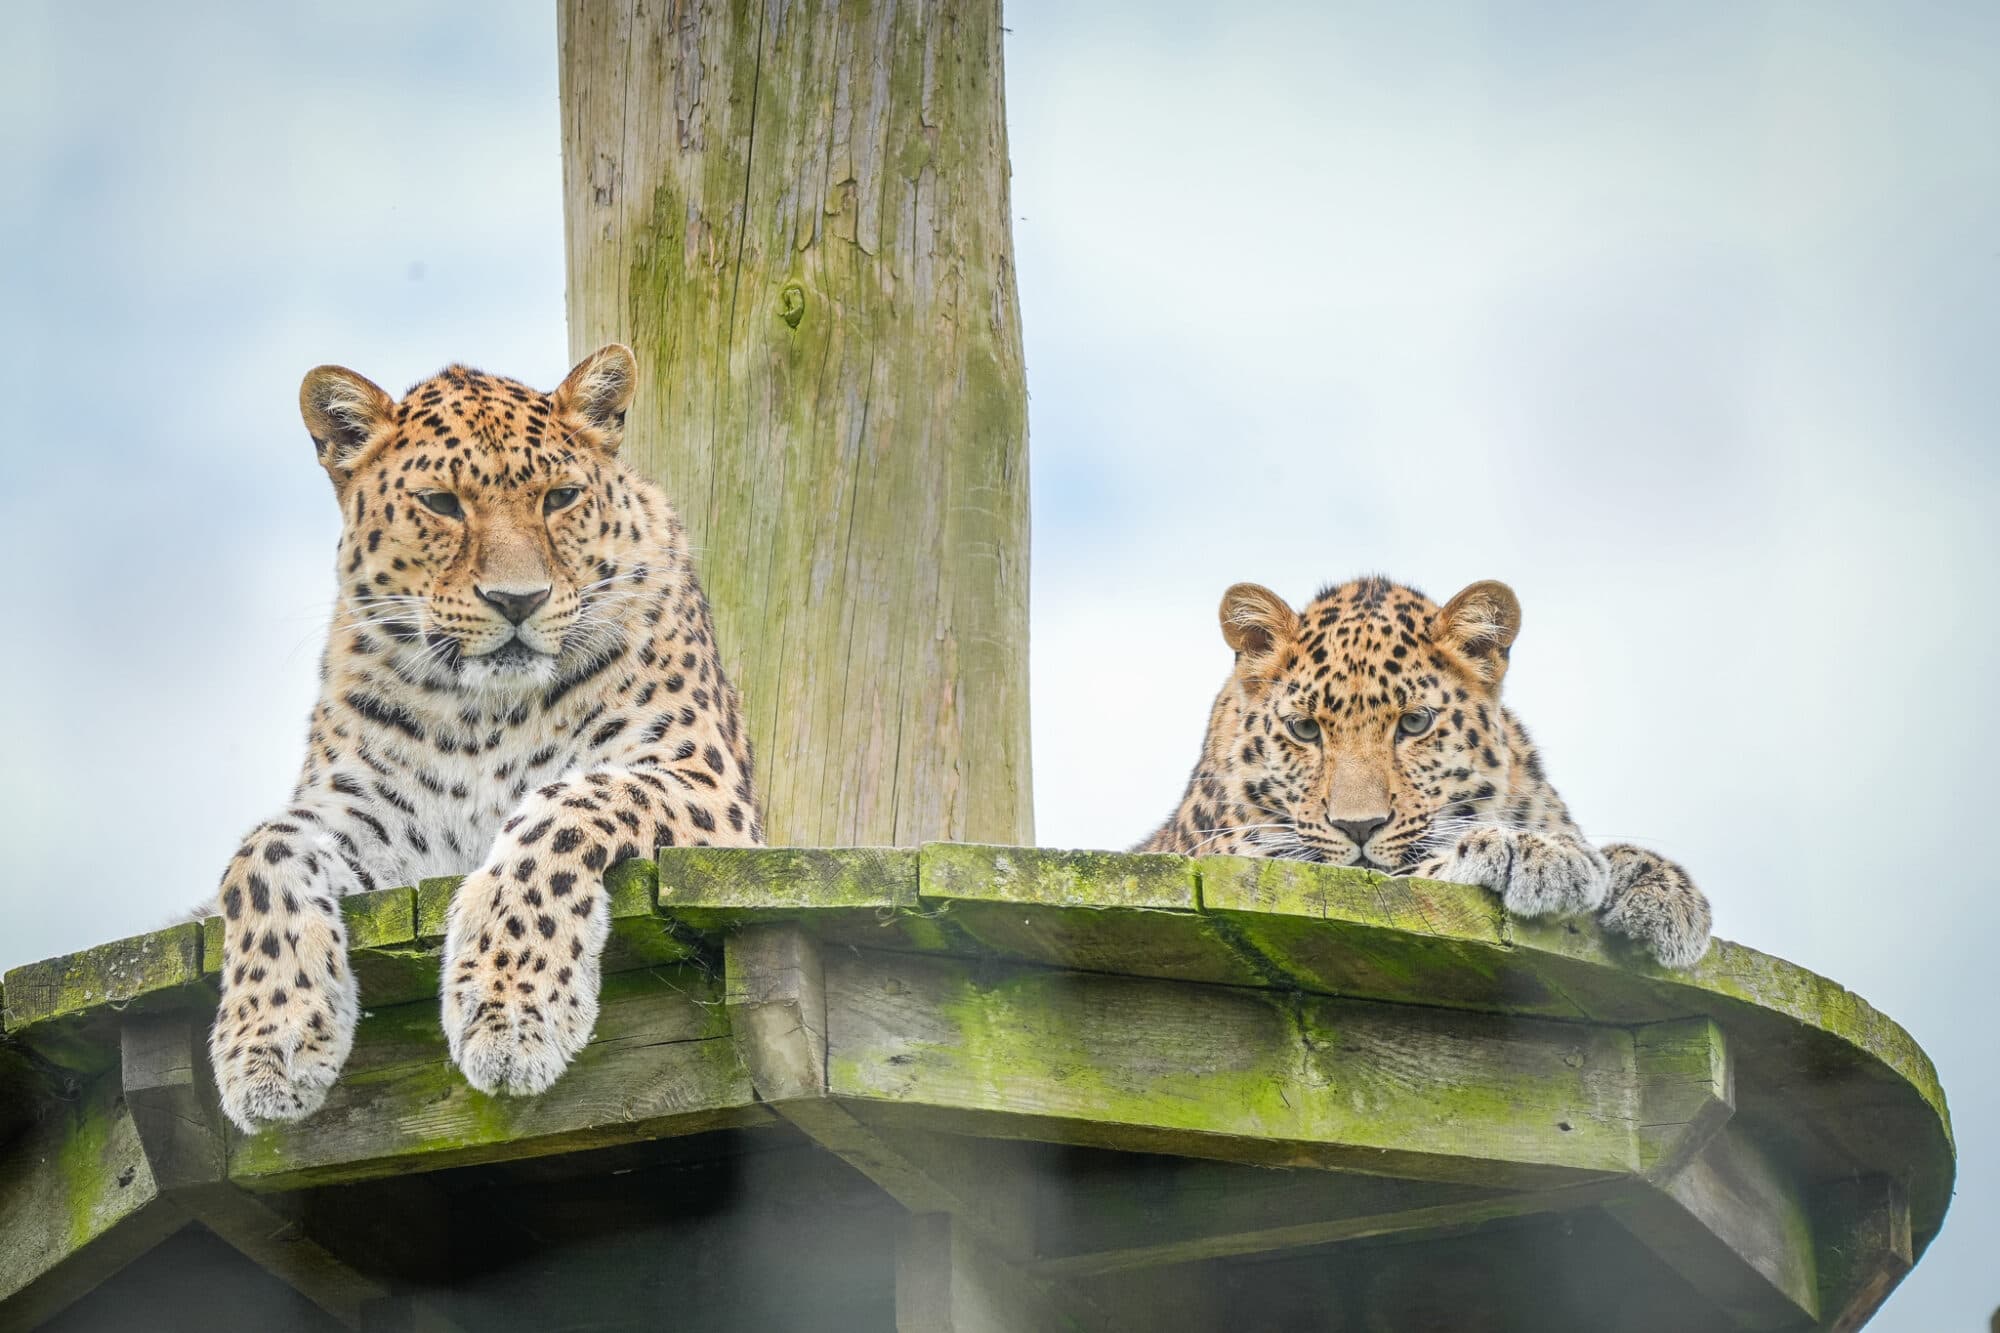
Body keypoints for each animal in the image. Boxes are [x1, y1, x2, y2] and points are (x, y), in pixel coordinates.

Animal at [208, 344, 762, 1134]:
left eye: (560, 497)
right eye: (441, 503)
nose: (517, 600)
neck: (484, 713)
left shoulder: (707, 787)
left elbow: (563, 809)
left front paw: (511, 1012)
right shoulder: (376, 814)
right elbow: (261, 855)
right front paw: (269, 1041)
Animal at [1137, 576, 1710, 969]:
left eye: (1414, 723)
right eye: (1304, 730)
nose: (1359, 827)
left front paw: (1663, 892)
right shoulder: (1248, 864)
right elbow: (1407, 877)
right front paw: (1536, 853)